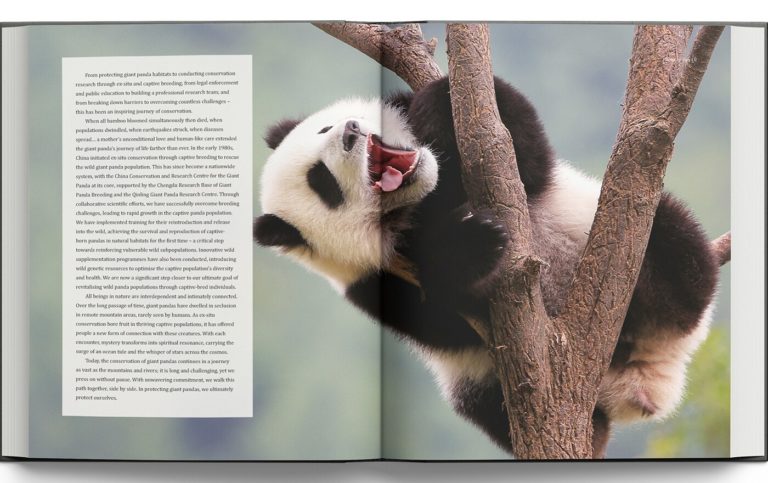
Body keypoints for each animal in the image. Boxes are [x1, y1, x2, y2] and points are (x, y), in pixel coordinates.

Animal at [253, 77, 719, 457]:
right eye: (323, 182)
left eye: (324, 128)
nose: (350, 131)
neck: (420, 201)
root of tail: (642, 383)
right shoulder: (373, 277)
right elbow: (440, 312)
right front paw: (473, 243)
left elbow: (517, 148)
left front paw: (435, 100)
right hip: (480, 385)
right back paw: (590, 427)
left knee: (670, 240)